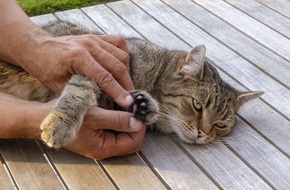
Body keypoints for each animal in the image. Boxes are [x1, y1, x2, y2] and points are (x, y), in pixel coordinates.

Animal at [0, 21, 262, 147]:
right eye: (197, 106)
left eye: (220, 125)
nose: (202, 134)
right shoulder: (96, 63)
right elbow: (78, 92)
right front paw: (60, 124)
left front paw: (143, 104)